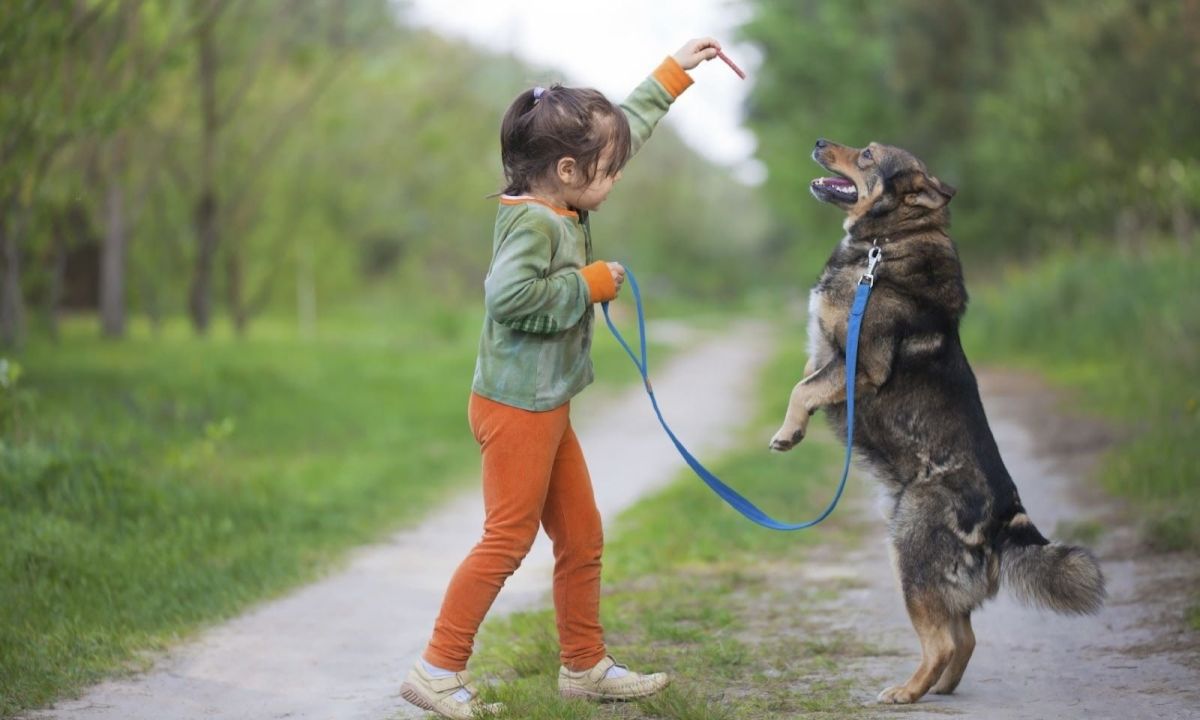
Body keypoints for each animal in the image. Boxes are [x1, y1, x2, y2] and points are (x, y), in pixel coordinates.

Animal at [768, 139, 1104, 700]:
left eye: (866, 155)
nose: (817, 142)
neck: (887, 243)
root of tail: (1007, 512)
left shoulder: (861, 364)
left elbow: (802, 389)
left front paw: (788, 432)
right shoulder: (827, 357)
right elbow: (808, 380)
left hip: (909, 556)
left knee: (944, 641)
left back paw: (905, 692)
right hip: (930, 571)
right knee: (964, 636)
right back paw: (939, 689)